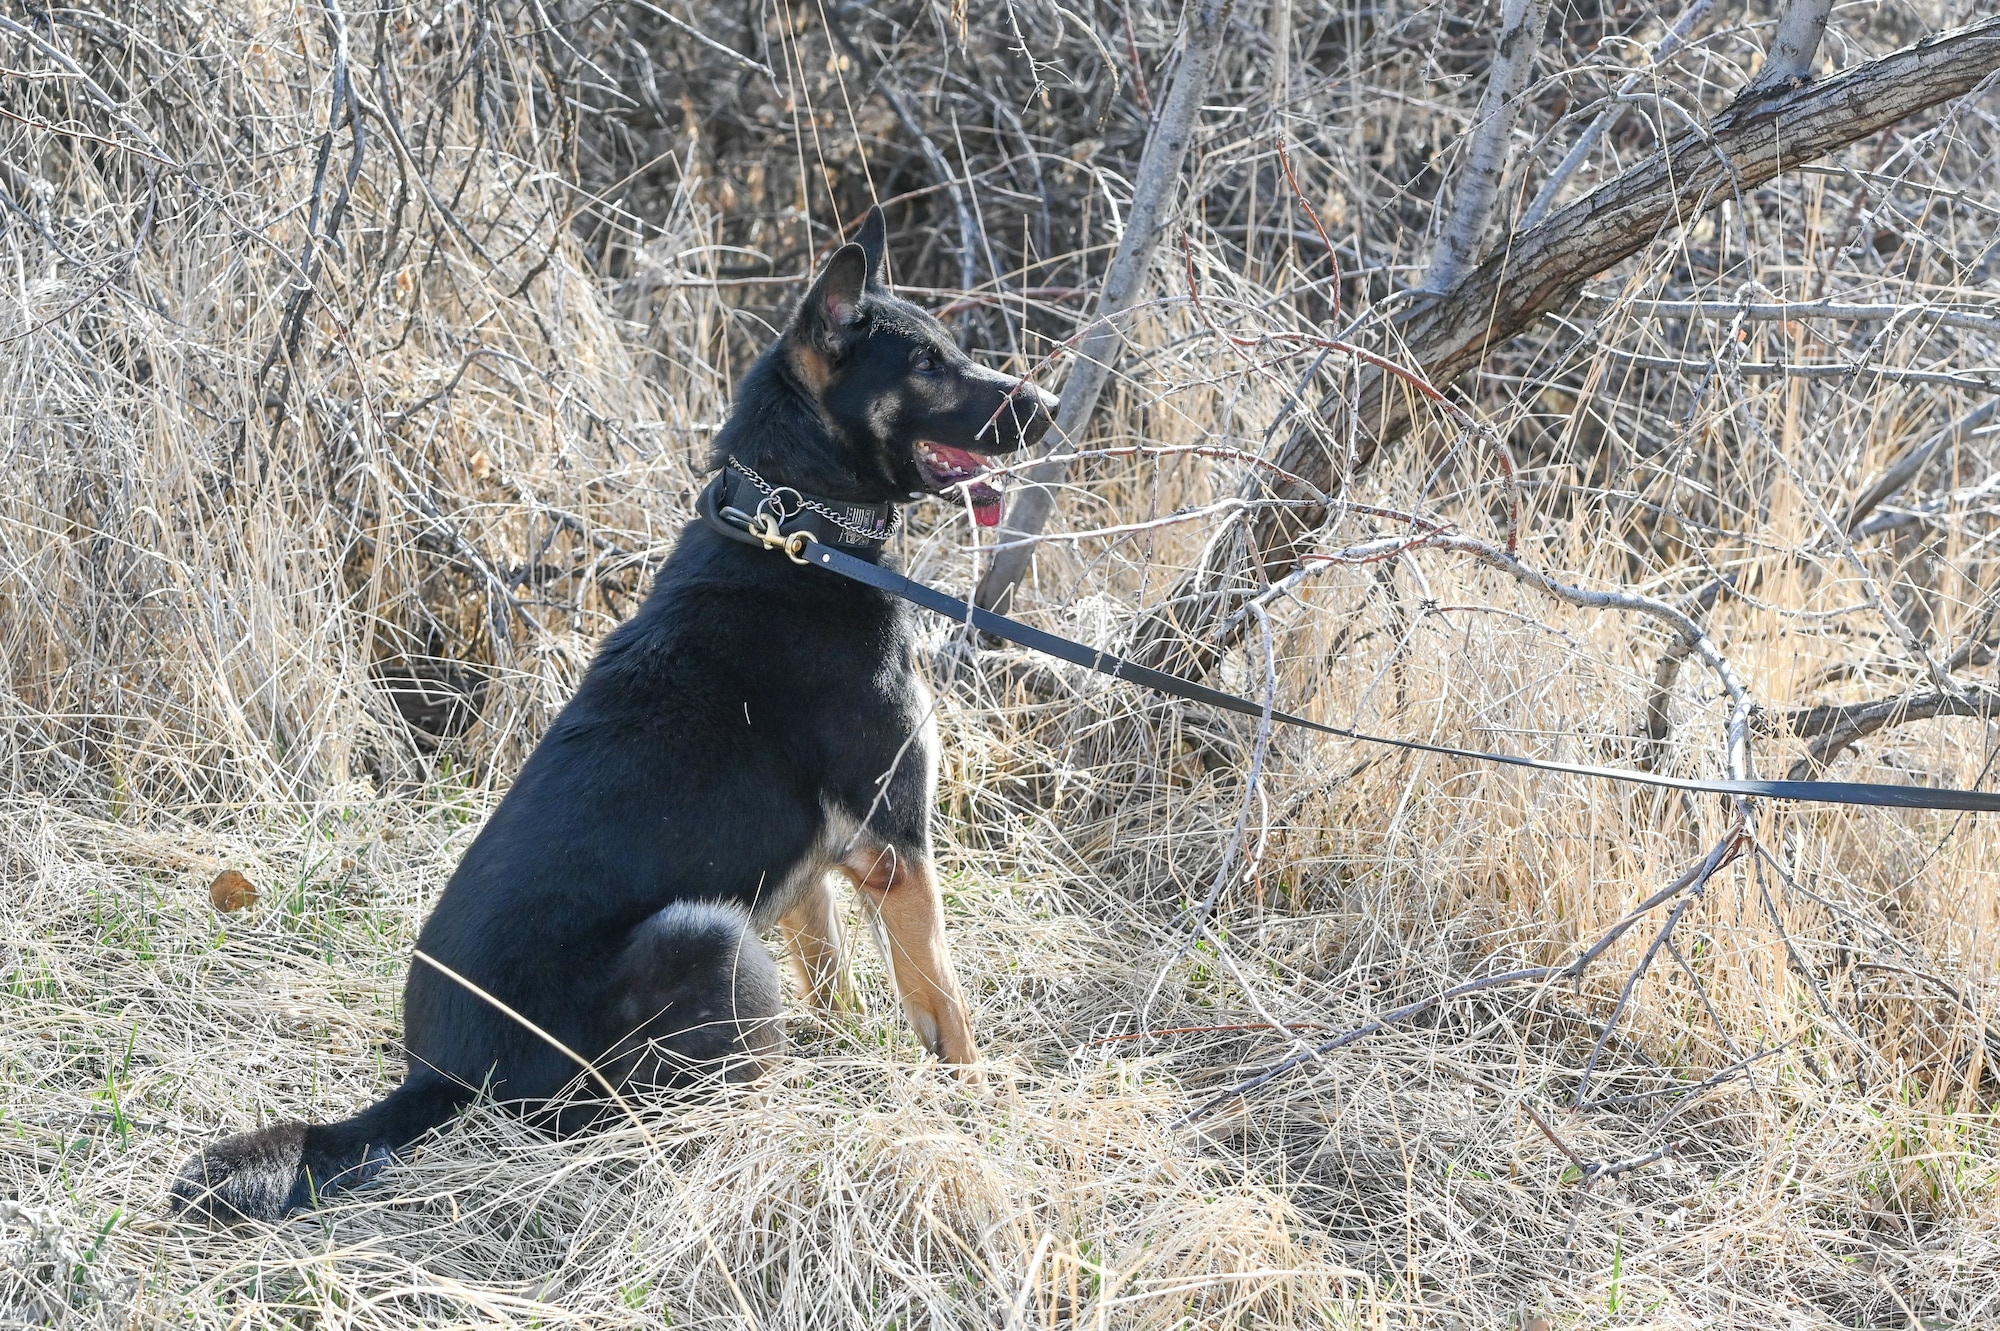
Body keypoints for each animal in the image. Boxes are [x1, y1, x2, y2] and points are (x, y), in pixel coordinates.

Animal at [172, 209, 1064, 1223]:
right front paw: (977, 1093)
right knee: (681, 1103)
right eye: (927, 364)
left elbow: (833, 971)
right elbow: (943, 996)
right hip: (709, 936)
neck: (795, 528)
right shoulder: (899, 847)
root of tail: (440, 1081)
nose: (1051, 405)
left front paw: (851, 1046)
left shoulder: (827, 867)